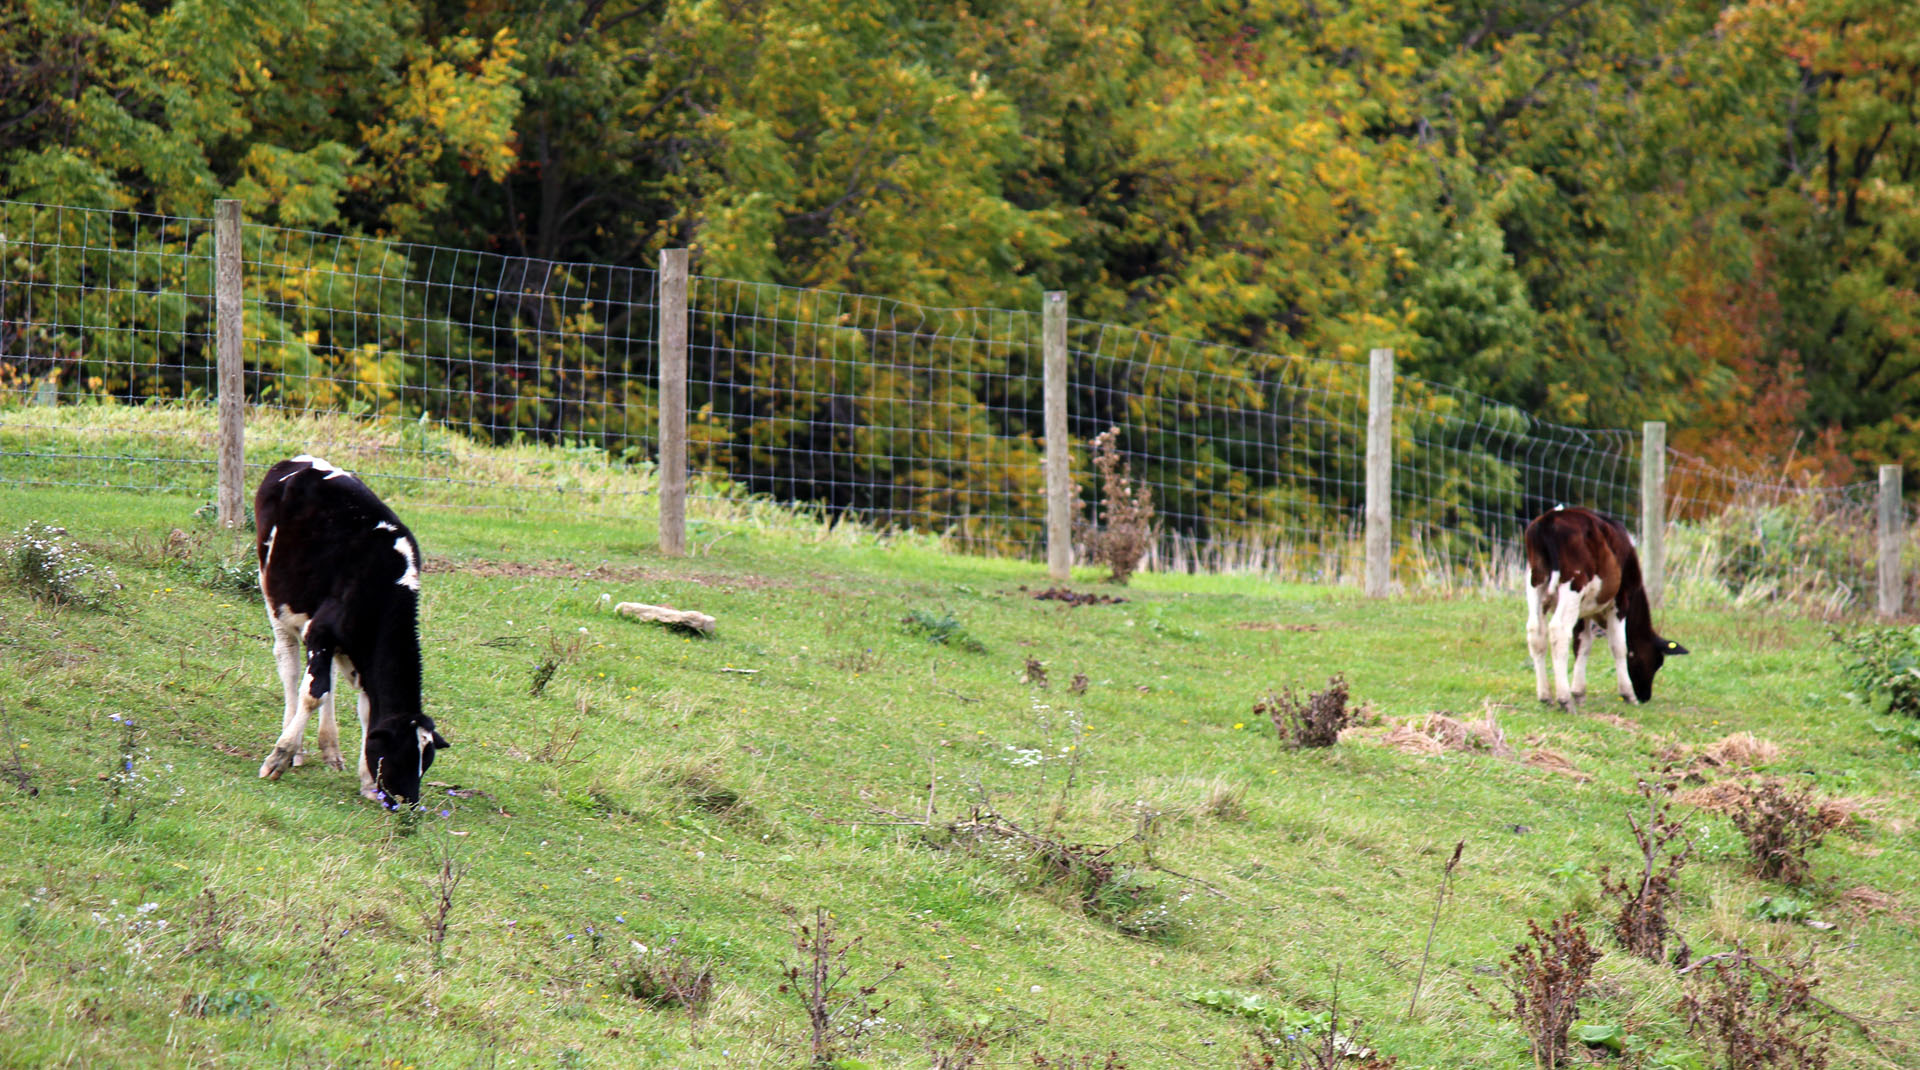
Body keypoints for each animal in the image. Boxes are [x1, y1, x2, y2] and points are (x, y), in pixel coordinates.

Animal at [254, 455, 448, 806]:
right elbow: (312, 695)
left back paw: (330, 749)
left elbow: (364, 710)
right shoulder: (321, 631)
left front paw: (367, 781)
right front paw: (279, 756)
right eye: (400, 755)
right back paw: (295, 746)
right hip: (273, 592)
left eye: (425, 761)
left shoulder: (349, 652)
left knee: (323, 677)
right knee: (290, 668)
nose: (408, 802)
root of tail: (297, 461)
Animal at [1524, 506, 1687, 711]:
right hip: (1573, 585)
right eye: (1657, 662)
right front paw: (1627, 694)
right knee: (1558, 631)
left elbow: (1583, 644)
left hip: (1535, 584)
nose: (1645, 696)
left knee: (1536, 632)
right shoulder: (1621, 601)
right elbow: (1619, 645)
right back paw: (1564, 698)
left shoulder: (1584, 610)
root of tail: (1550, 518)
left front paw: (1579, 692)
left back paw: (1545, 695)